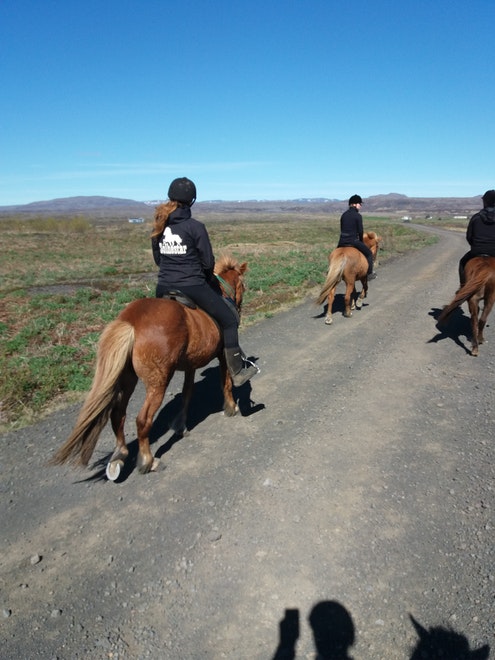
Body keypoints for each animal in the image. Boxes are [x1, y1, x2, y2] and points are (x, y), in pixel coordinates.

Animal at [51, 256, 248, 480]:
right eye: (242, 285)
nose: (239, 306)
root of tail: (131, 323)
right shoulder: (222, 356)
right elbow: (226, 382)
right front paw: (231, 407)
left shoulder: (190, 364)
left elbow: (187, 393)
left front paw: (180, 425)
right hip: (158, 381)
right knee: (142, 420)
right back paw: (147, 460)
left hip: (127, 378)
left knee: (117, 414)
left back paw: (119, 456)